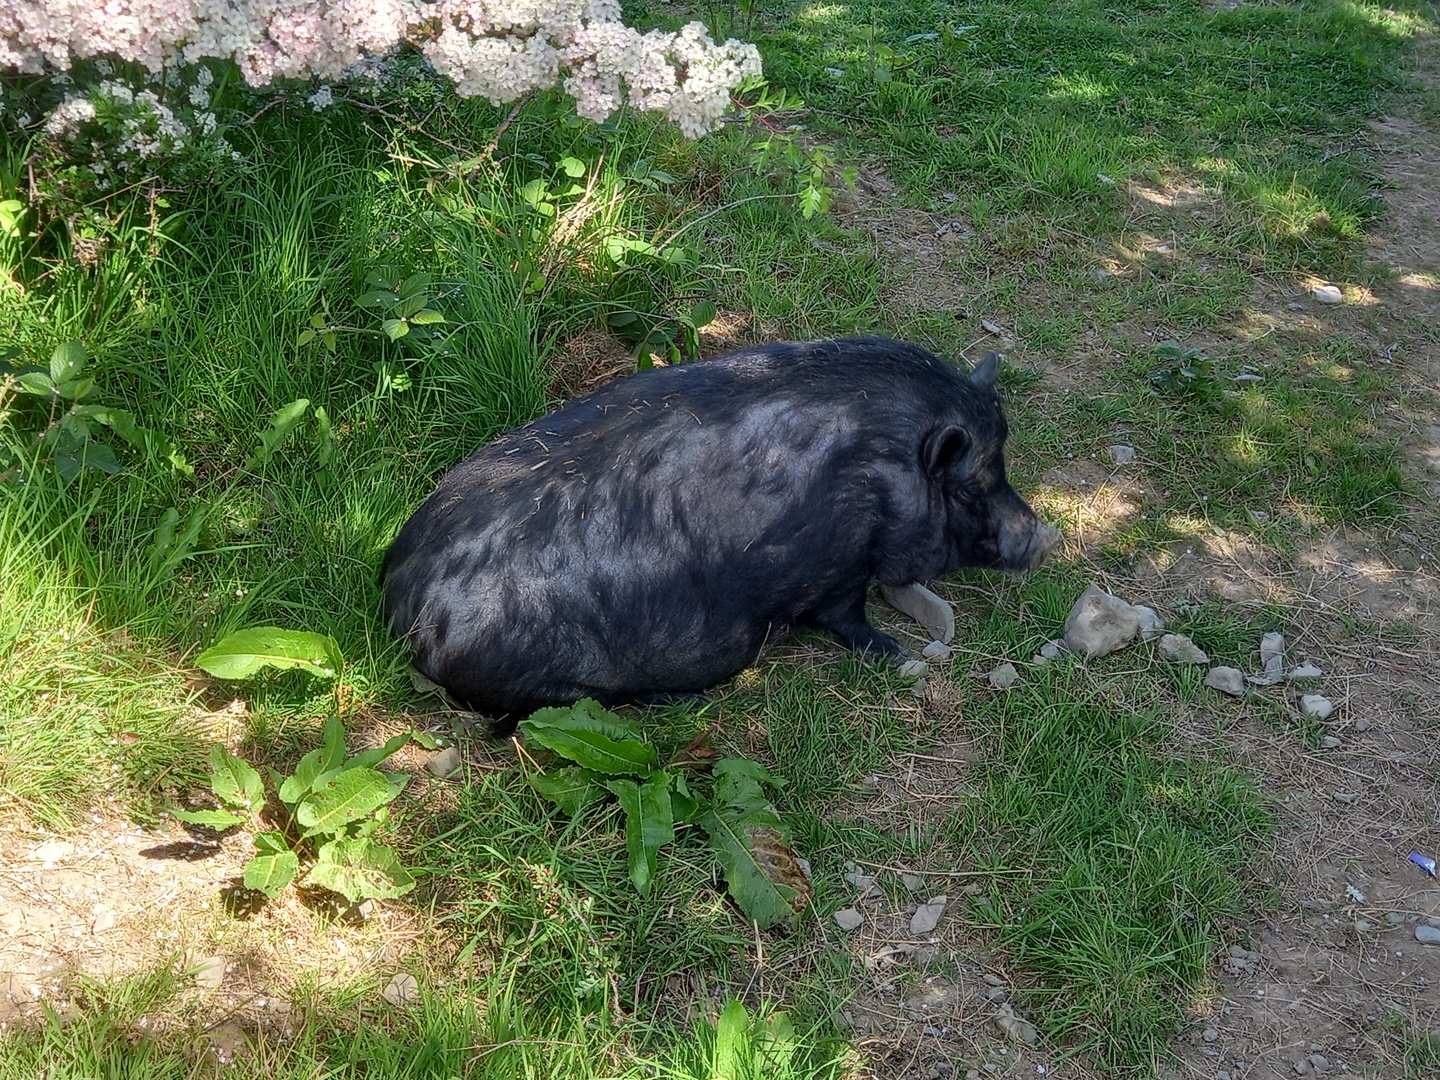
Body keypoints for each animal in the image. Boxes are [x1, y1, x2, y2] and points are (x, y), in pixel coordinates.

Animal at [381, 336, 1060, 731]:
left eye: (1002, 465)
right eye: (970, 487)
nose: (1042, 538)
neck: (880, 473)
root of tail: (400, 611)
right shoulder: (835, 566)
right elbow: (848, 617)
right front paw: (898, 655)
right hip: (545, 684)